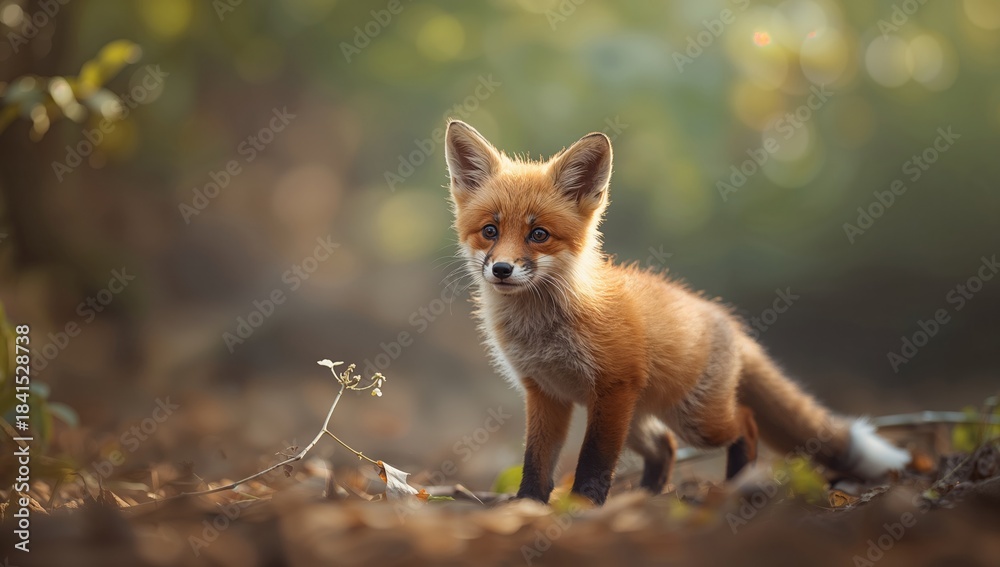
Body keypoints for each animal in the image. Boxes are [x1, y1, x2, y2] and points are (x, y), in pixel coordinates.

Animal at [444, 119, 911, 505]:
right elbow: (536, 464)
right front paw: (527, 509)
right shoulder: (546, 393)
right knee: (665, 448)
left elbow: (594, 462)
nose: (502, 270)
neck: (544, 329)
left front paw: (582, 508)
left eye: (538, 234)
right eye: (490, 231)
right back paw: (650, 497)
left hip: (693, 419)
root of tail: (726, 320)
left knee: (745, 424)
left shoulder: (612, 388)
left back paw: (735, 487)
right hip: (638, 418)